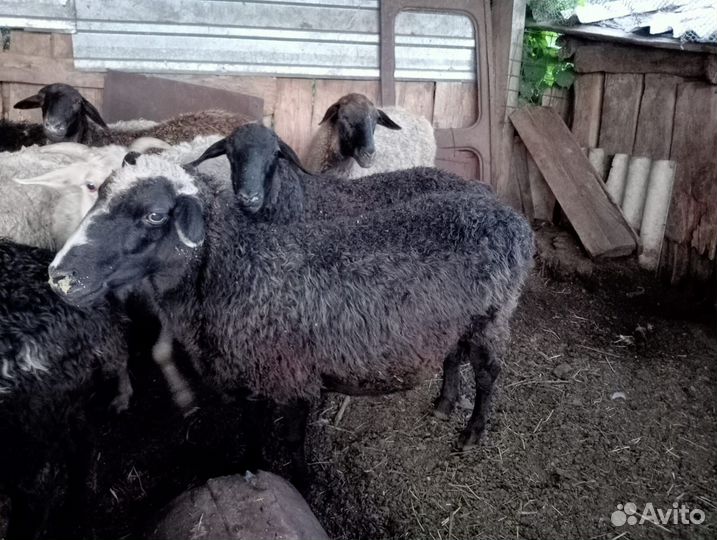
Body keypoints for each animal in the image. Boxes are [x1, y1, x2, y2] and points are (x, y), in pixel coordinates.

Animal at [47, 128, 534, 459]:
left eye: (153, 215)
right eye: (97, 193)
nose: (59, 276)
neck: (239, 267)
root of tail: (508, 215)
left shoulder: (295, 378)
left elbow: (294, 444)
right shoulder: (251, 380)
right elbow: (253, 431)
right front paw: (251, 464)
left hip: (494, 315)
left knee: (488, 373)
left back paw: (472, 431)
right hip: (456, 318)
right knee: (453, 356)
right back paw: (444, 404)